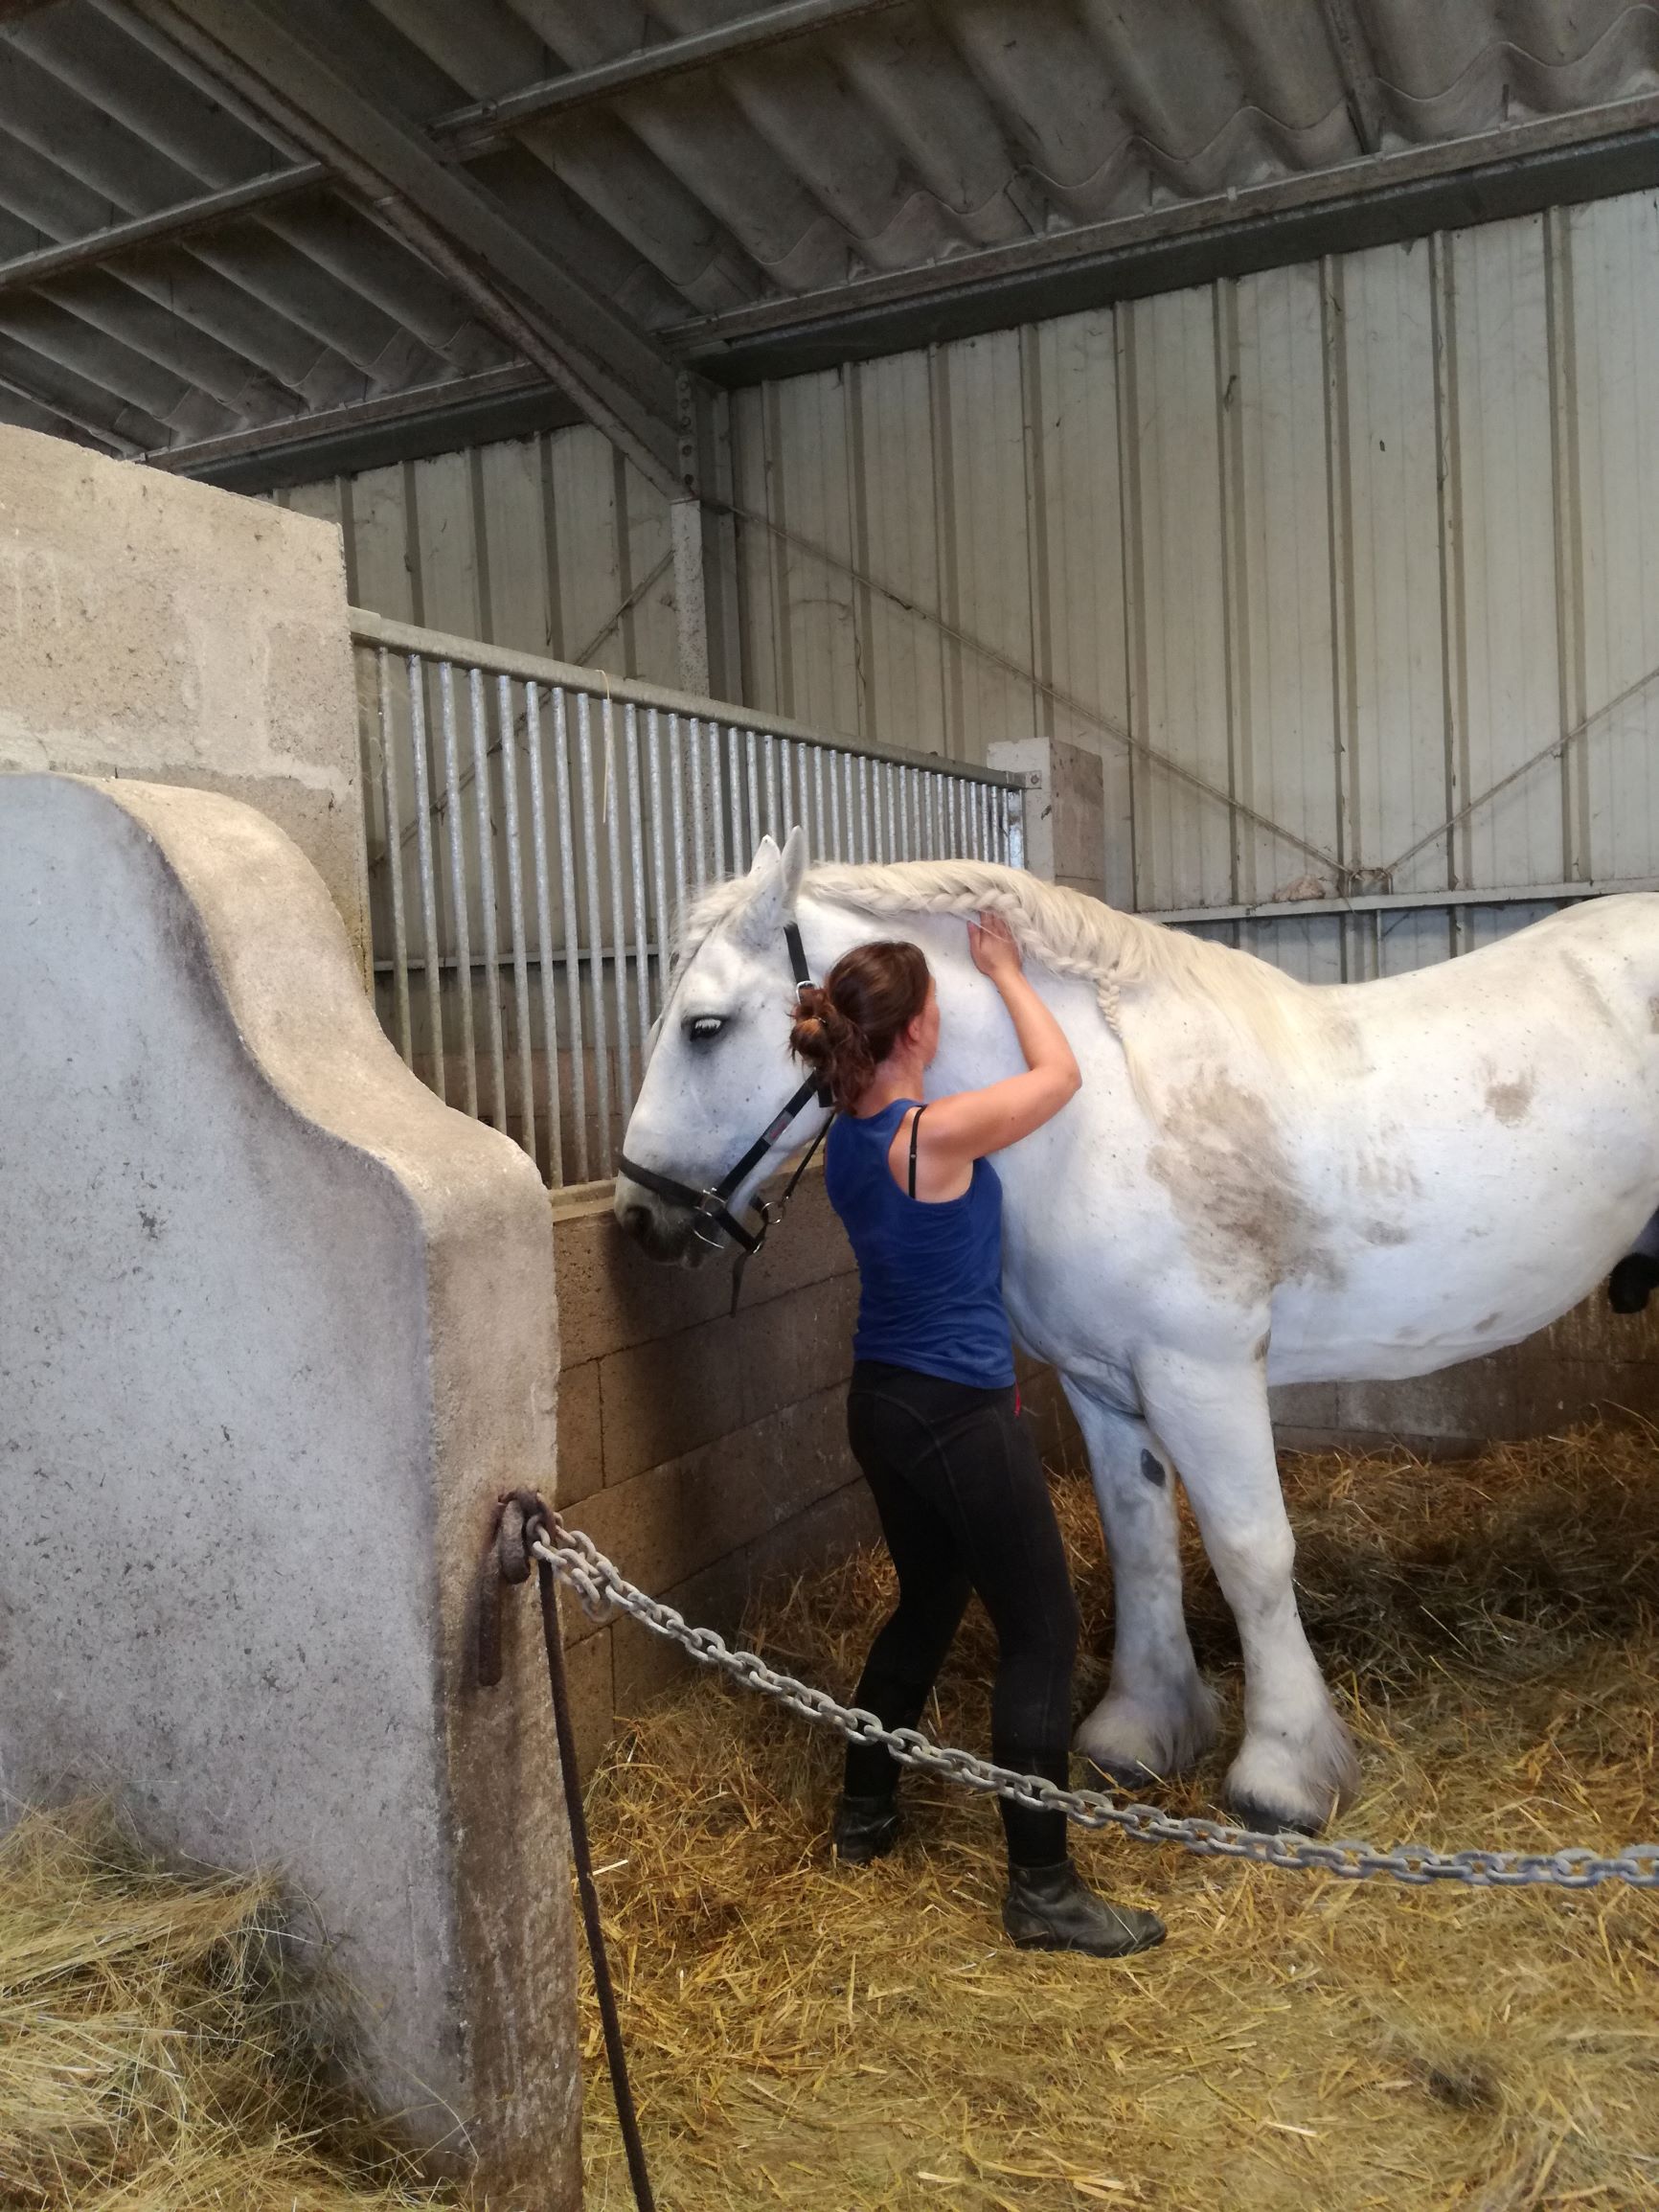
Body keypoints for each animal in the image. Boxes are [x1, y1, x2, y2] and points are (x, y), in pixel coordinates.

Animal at [614, 832, 1659, 1831]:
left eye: (705, 1026)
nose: (636, 1214)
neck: (1102, 1114)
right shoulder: (1104, 1384)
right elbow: (1140, 1538)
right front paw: (1142, 1731)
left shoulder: (1204, 1374)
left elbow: (1250, 1551)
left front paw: (1284, 1772)